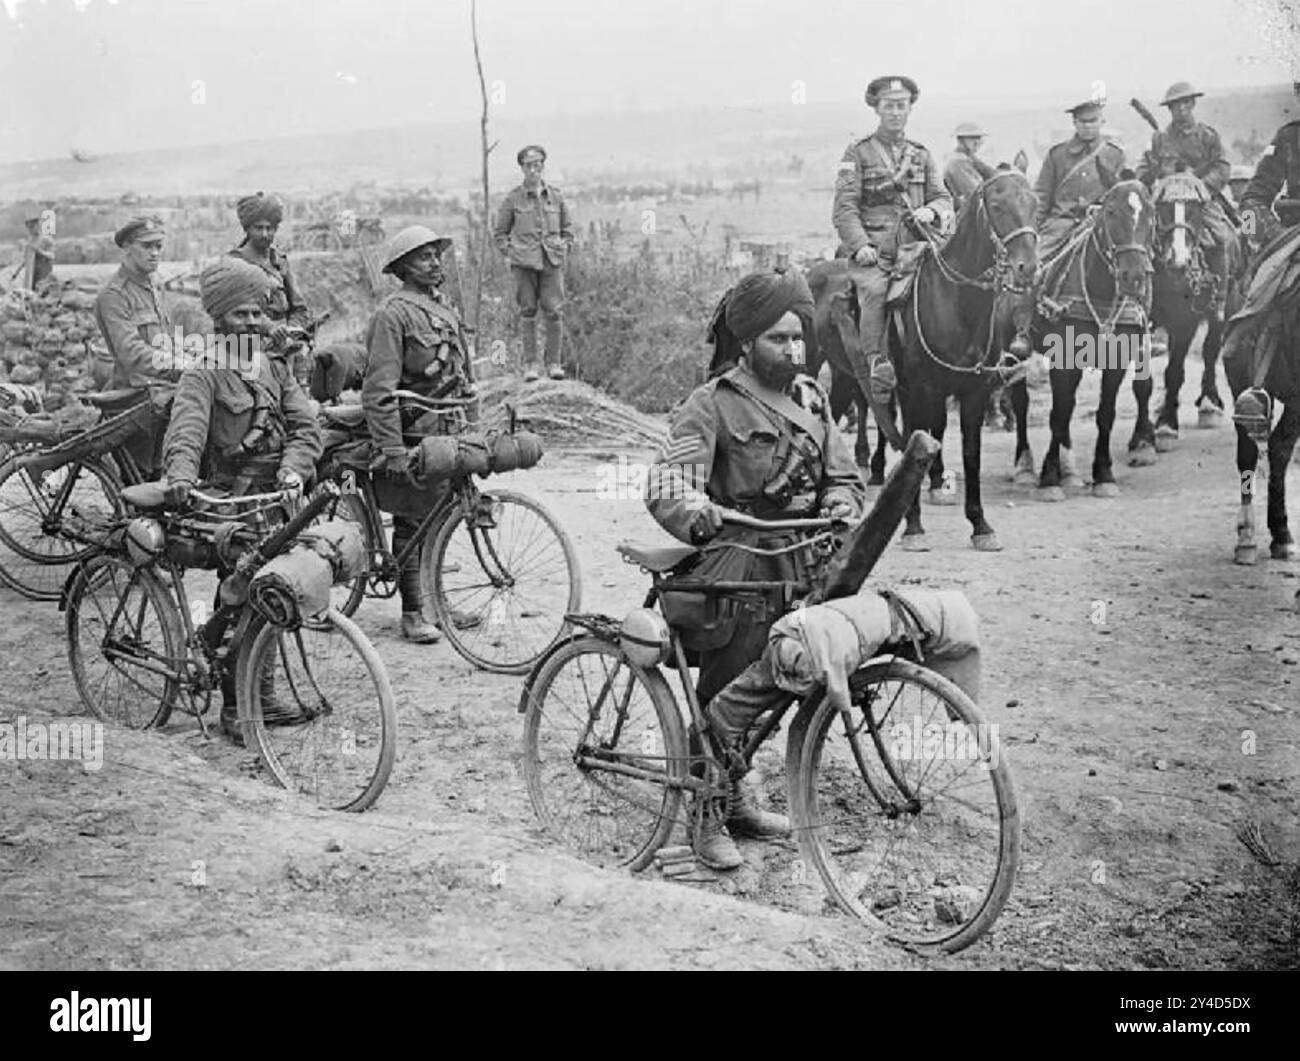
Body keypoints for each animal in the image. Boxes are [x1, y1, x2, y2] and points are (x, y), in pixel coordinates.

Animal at [806, 170, 1040, 551]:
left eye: (1033, 202)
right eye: (997, 205)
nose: (1028, 267)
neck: (954, 301)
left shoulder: (973, 392)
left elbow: (970, 455)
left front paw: (980, 525)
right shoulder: (917, 390)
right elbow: (914, 449)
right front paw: (913, 526)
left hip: (845, 376)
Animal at [1003, 179, 1159, 501]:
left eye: (1151, 215)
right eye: (1111, 212)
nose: (1134, 276)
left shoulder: (1117, 360)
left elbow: (1104, 414)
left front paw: (1103, 475)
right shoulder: (1064, 360)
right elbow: (1058, 413)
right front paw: (1049, 479)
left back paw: (1071, 471)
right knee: (1022, 402)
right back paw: (1025, 468)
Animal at [1154, 170, 1242, 444]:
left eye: (1194, 209)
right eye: (1163, 209)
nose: (1178, 259)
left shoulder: (1185, 322)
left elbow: (1174, 370)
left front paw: (1166, 424)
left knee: (1210, 350)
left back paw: (1208, 404)